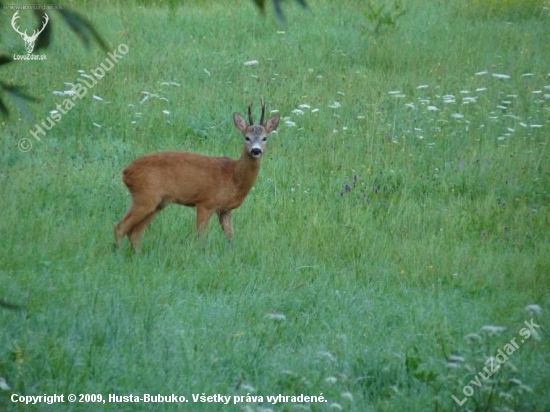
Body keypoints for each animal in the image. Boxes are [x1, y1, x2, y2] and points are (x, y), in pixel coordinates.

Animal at [115, 98, 282, 249]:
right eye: (246, 137)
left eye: (264, 138)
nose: (256, 150)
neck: (233, 176)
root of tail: (126, 172)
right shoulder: (205, 203)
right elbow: (202, 238)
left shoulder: (225, 209)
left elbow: (230, 237)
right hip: (145, 196)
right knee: (120, 227)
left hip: (157, 202)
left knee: (135, 233)